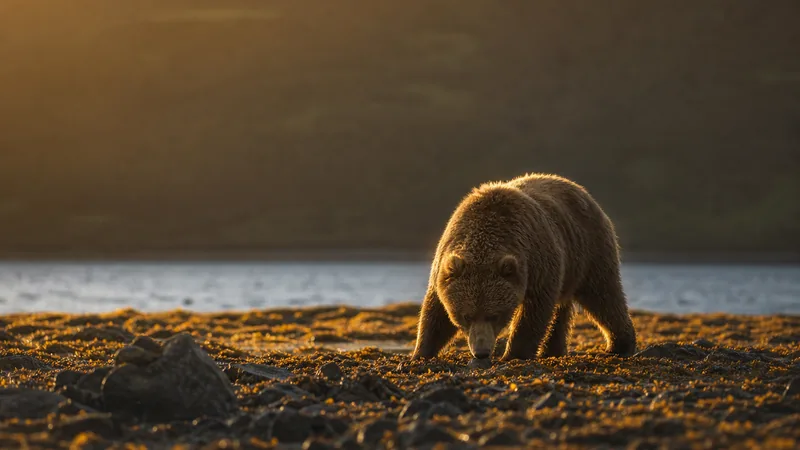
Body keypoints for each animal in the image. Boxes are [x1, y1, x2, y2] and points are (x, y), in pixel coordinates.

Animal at [410, 173, 637, 361]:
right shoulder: (444, 266)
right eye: (466, 315)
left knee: (603, 296)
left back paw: (619, 345)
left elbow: (533, 313)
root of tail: (581, 191)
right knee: (564, 309)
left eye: (494, 315)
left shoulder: (536, 264)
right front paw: (420, 353)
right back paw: (552, 350)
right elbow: (435, 310)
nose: (481, 352)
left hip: (589, 251)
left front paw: (513, 355)